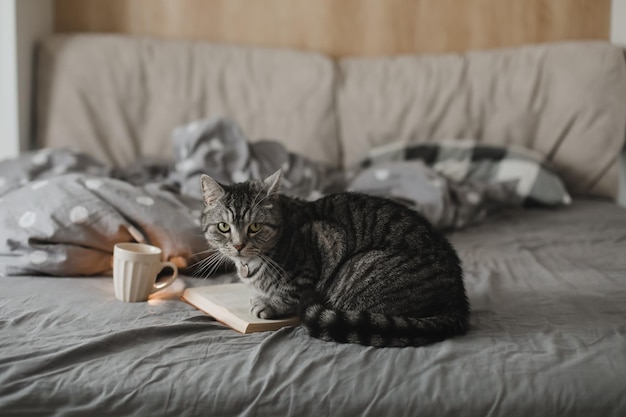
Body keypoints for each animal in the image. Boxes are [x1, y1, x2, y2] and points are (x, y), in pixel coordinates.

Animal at [200, 167, 468, 346]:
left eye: (254, 227)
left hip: (359, 269)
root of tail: (457, 303)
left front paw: (268, 304)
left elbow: (291, 292)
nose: (238, 245)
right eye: (223, 227)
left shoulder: (325, 241)